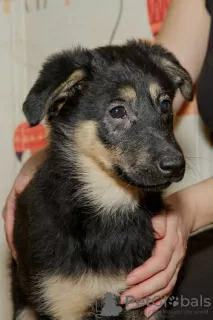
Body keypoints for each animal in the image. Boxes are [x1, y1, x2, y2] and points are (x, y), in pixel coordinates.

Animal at [12, 40, 193, 320]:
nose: (175, 165)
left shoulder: (145, 300)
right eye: (117, 111)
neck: (110, 202)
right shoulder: (62, 303)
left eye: (164, 105)